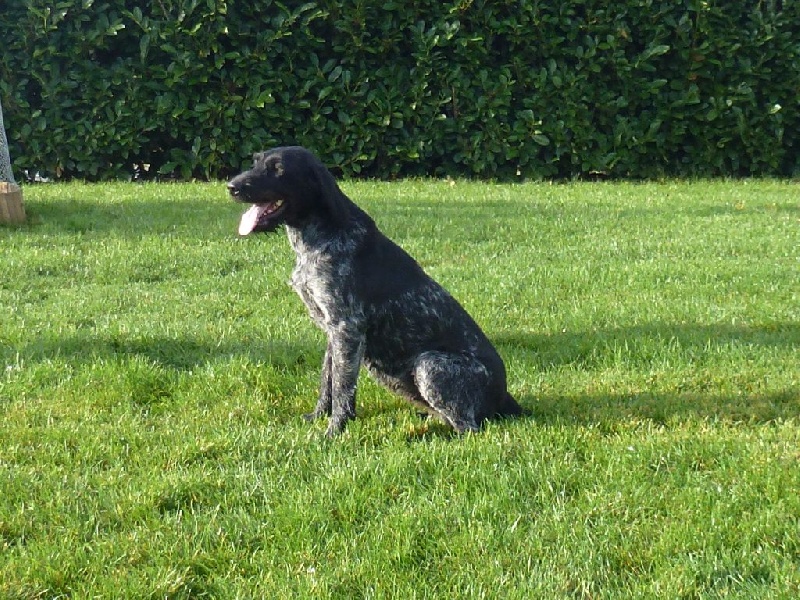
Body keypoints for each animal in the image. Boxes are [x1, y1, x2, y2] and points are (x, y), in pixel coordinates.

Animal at [228, 146, 520, 436]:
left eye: (278, 169)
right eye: (255, 163)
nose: (231, 187)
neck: (318, 237)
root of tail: (505, 397)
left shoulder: (346, 328)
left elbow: (342, 388)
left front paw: (334, 431)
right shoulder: (333, 332)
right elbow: (328, 380)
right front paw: (319, 416)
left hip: (429, 365)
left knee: (468, 428)